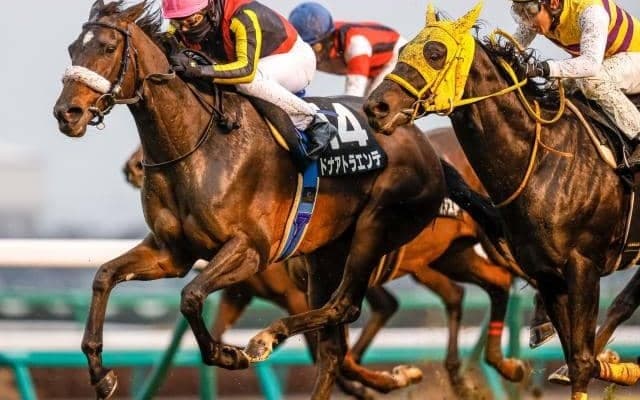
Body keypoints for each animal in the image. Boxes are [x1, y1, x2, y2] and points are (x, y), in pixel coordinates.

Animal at [52, 1, 451, 398]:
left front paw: (229, 354)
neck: (196, 147)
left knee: (347, 309)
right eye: (72, 50)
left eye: (107, 48)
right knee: (333, 345)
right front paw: (101, 374)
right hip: (324, 255)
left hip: (375, 229)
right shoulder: (172, 252)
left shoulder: (250, 249)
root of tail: (424, 145)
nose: (66, 113)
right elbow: (104, 276)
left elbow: (191, 296)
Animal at [365, 3, 640, 398]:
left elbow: (583, 361)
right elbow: (575, 357)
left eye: (436, 53)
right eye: (402, 51)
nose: (377, 107)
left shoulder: (583, 266)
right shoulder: (547, 273)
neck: (543, 160)